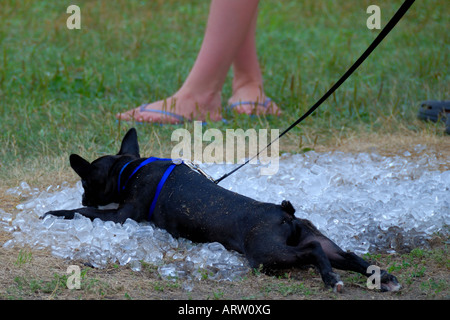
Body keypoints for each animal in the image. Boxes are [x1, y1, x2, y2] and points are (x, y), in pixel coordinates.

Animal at [44, 128, 400, 292]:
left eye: (86, 182)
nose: (84, 194)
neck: (128, 169)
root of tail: (284, 213)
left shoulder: (123, 215)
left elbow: (86, 214)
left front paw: (55, 213)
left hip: (266, 253)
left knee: (313, 251)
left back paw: (330, 279)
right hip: (317, 240)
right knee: (346, 254)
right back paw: (383, 277)